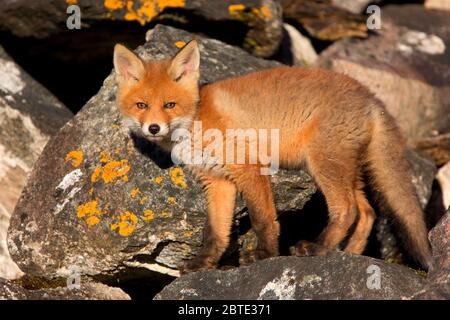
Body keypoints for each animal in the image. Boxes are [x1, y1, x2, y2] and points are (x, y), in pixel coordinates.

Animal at [112, 39, 432, 272]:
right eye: (141, 105)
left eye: (170, 105)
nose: (154, 128)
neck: (198, 121)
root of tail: (369, 96)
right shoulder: (217, 182)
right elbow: (216, 232)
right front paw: (204, 264)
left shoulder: (248, 167)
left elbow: (262, 218)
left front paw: (265, 254)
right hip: (344, 169)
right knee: (367, 212)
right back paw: (348, 254)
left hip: (323, 165)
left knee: (347, 209)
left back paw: (318, 249)